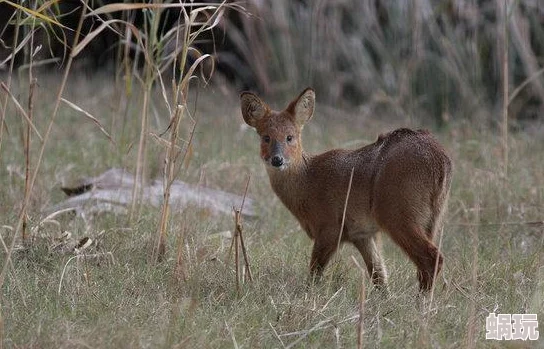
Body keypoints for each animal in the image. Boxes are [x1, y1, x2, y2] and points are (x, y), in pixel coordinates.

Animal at [240, 87, 452, 290]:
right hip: (432, 219)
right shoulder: (362, 234)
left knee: (431, 258)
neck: (307, 183)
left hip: (398, 212)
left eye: (290, 137)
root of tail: (440, 160)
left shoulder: (330, 226)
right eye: (266, 137)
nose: (277, 159)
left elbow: (314, 273)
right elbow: (379, 276)